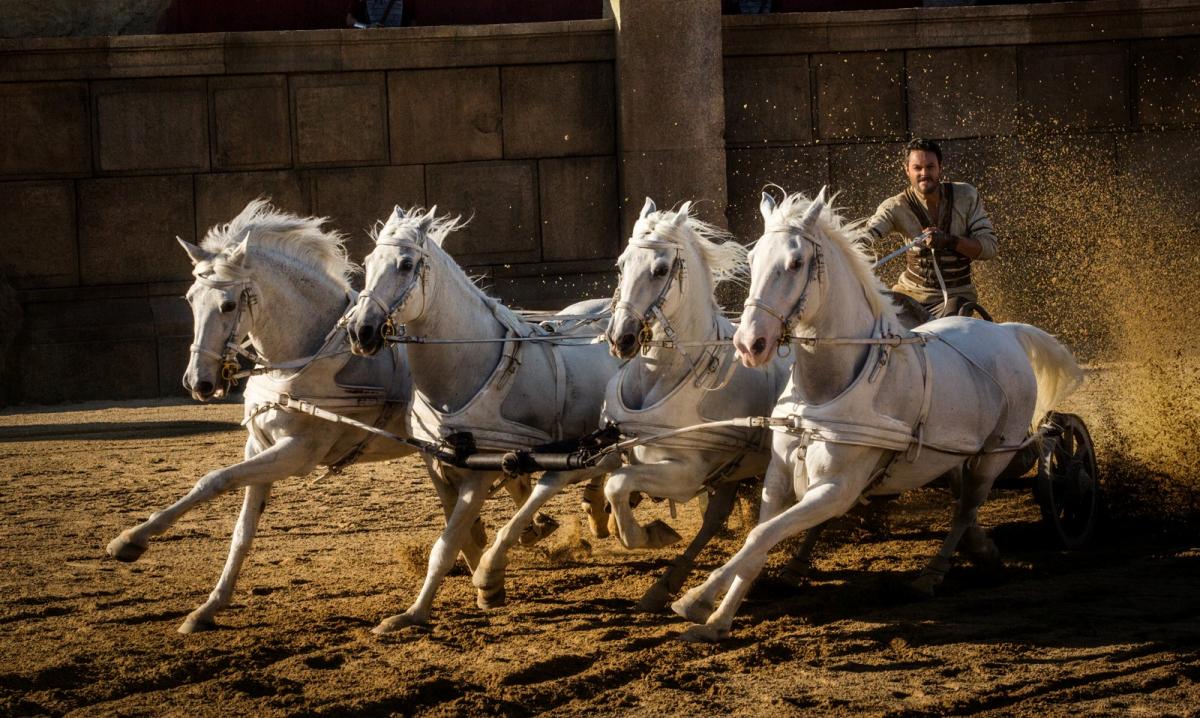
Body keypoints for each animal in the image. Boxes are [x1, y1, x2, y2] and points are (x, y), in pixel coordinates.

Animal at [105, 199, 444, 633]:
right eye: (190, 298)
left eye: (229, 304)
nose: (198, 382)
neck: (305, 360)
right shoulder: (258, 445)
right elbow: (242, 529)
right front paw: (209, 606)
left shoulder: (297, 452)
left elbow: (213, 479)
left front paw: (131, 539)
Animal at [345, 206, 619, 629]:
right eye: (368, 261)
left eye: (406, 264)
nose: (361, 331)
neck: (469, 363)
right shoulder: (437, 463)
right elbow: (460, 538)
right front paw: (421, 607)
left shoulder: (481, 467)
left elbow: (446, 545)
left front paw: (425, 610)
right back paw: (593, 512)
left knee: (578, 471)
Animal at [600, 199, 787, 609]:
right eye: (620, 264)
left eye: (660, 269)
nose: (621, 338)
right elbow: (611, 483)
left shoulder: (686, 474)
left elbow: (618, 485)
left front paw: (651, 534)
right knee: (715, 517)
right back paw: (663, 586)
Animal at [672, 189, 1084, 643]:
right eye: (755, 257)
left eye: (795, 263)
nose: (749, 343)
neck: (824, 391)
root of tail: (1006, 331)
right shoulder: (778, 479)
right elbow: (755, 542)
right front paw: (717, 619)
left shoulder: (837, 489)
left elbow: (763, 535)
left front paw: (694, 597)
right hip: (952, 456)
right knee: (961, 501)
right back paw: (979, 553)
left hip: (993, 456)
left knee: (966, 509)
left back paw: (932, 575)